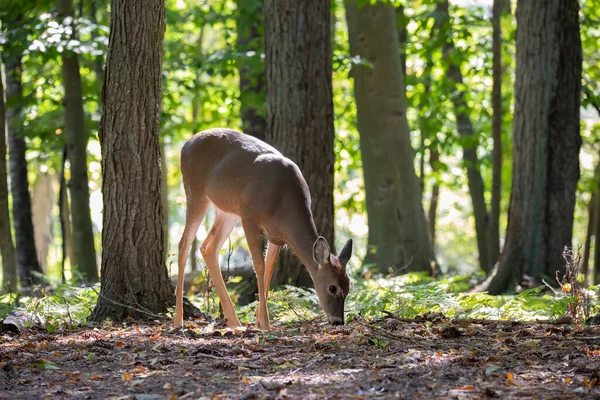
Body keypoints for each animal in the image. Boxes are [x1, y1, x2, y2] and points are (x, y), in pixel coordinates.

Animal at [173, 128, 352, 332]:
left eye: (348, 286)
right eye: (332, 287)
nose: (338, 321)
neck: (283, 203)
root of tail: (185, 145)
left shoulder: (277, 236)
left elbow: (269, 268)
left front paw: (259, 320)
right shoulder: (249, 218)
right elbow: (259, 266)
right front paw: (265, 324)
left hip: (228, 211)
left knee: (208, 247)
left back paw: (234, 322)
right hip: (196, 193)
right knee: (183, 245)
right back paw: (178, 320)